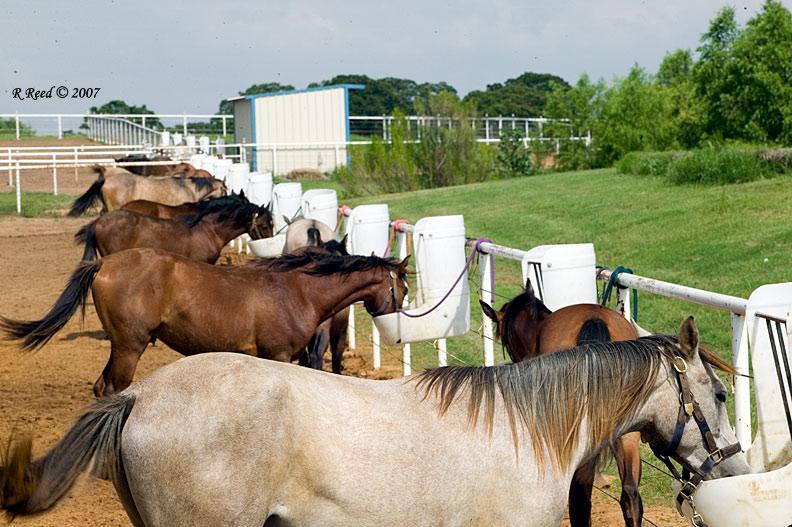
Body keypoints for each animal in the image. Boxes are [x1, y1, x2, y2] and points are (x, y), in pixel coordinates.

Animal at [0, 251, 408, 396]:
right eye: (403, 288)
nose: (396, 334)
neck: (297, 290)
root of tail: (106, 262)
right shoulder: (277, 355)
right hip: (129, 347)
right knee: (113, 389)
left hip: (120, 346)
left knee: (101, 388)